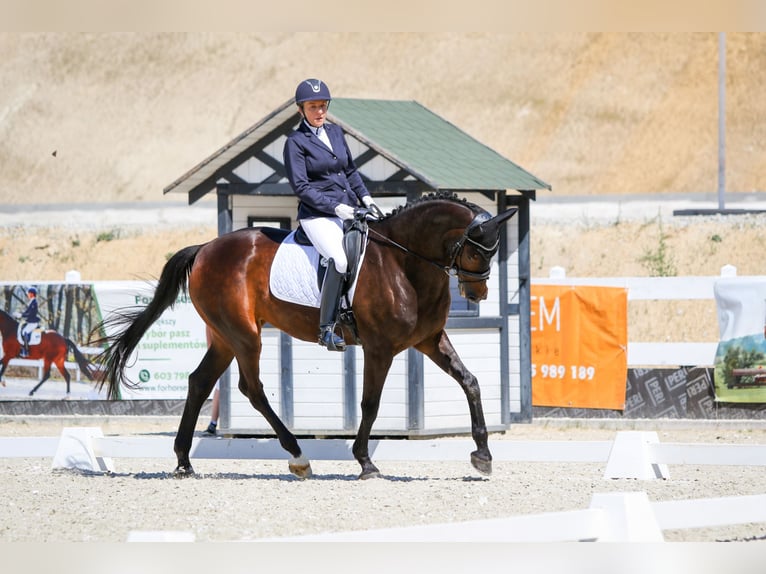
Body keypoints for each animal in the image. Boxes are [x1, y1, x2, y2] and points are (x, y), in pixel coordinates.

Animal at [94, 194, 516, 482]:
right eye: (477, 253)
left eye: (494, 252)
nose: (478, 295)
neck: (404, 262)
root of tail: (205, 248)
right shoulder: (380, 349)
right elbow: (370, 404)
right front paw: (365, 462)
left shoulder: (429, 340)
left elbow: (471, 382)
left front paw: (482, 455)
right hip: (245, 335)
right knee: (251, 389)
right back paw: (297, 456)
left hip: (225, 337)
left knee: (199, 382)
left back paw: (184, 462)